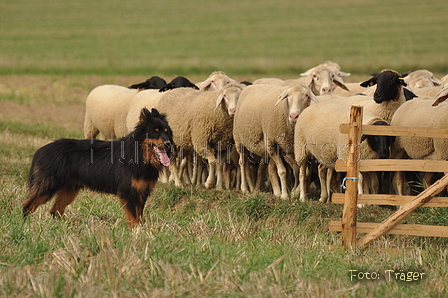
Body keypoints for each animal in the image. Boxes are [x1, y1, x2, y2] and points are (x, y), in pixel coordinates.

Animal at [22, 108, 173, 227]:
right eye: (155, 132)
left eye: (166, 132)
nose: (168, 144)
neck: (138, 154)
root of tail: (41, 150)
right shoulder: (129, 193)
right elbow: (133, 218)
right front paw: (136, 233)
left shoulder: (141, 193)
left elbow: (138, 216)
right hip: (48, 187)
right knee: (28, 206)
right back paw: (25, 224)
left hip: (69, 191)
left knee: (55, 211)